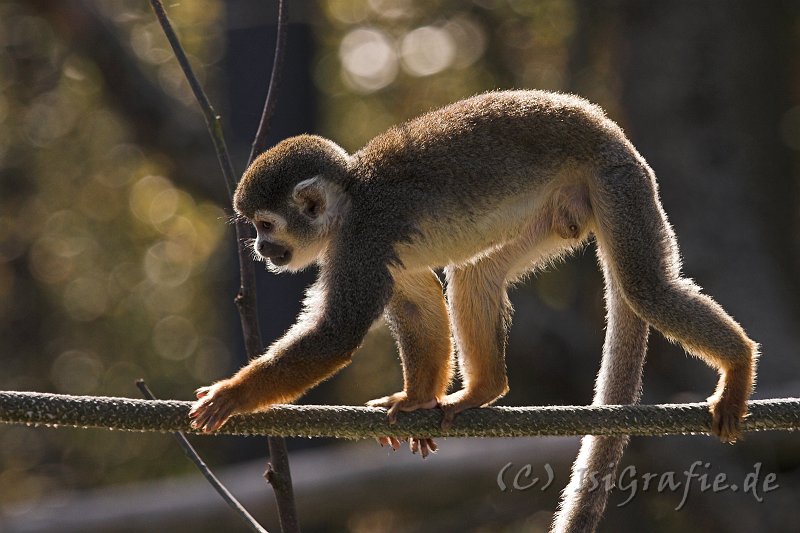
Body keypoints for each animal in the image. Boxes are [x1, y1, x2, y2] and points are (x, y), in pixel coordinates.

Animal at [188, 90, 756, 528]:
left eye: (266, 225)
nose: (261, 250)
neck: (349, 201)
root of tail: (603, 124)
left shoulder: (362, 240)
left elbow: (339, 332)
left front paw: (232, 396)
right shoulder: (374, 248)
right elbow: (417, 304)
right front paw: (416, 400)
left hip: (616, 180)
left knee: (645, 288)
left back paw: (739, 362)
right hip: (562, 206)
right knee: (475, 275)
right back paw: (485, 389)